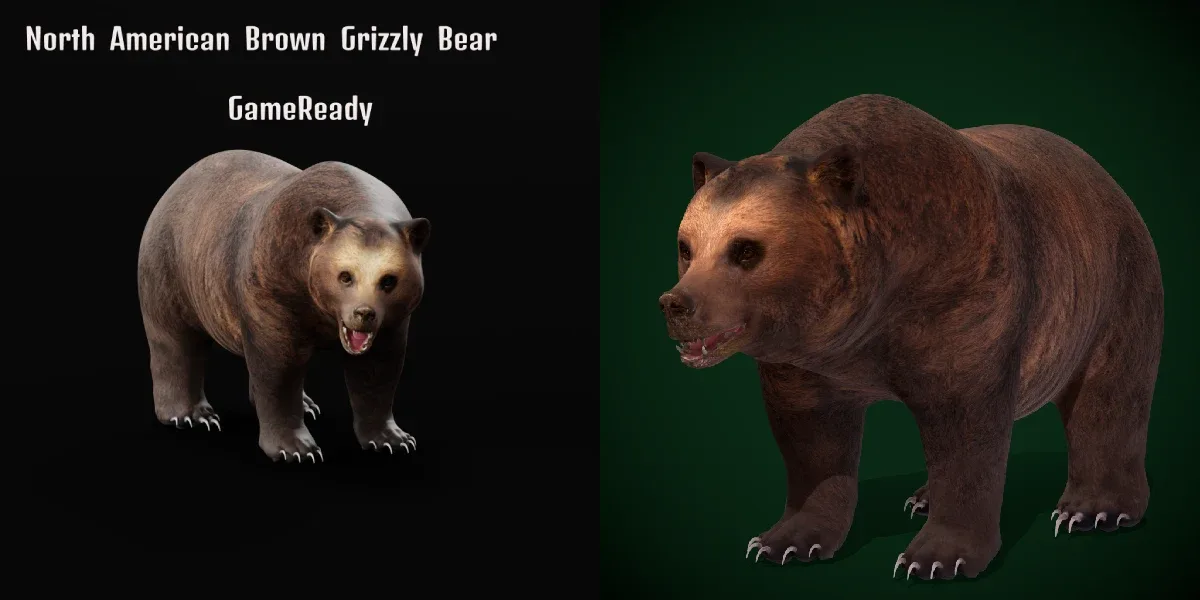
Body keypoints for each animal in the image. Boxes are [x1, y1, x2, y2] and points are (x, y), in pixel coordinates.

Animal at [137, 149, 430, 463]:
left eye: (389, 280)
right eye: (345, 276)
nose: (364, 314)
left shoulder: (394, 321)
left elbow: (378, 369)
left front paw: (393, 439)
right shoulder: (273, 286)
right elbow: (279, 366)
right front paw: (296, 448)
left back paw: (307, 404)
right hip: (170, 267)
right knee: (176, 340)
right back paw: (192, 415)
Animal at [657, 94, 1163, 580]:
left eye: (745, 249)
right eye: (686, 247)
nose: (676, 304)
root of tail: (1105, 177)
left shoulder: (962, 298)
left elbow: (964, 431)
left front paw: (937, 558)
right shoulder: (804, 362)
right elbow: (811, 439)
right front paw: (783, 541)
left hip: (1114, 286)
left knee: (1109, 396)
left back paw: (1093, 510)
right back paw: (921, 497)